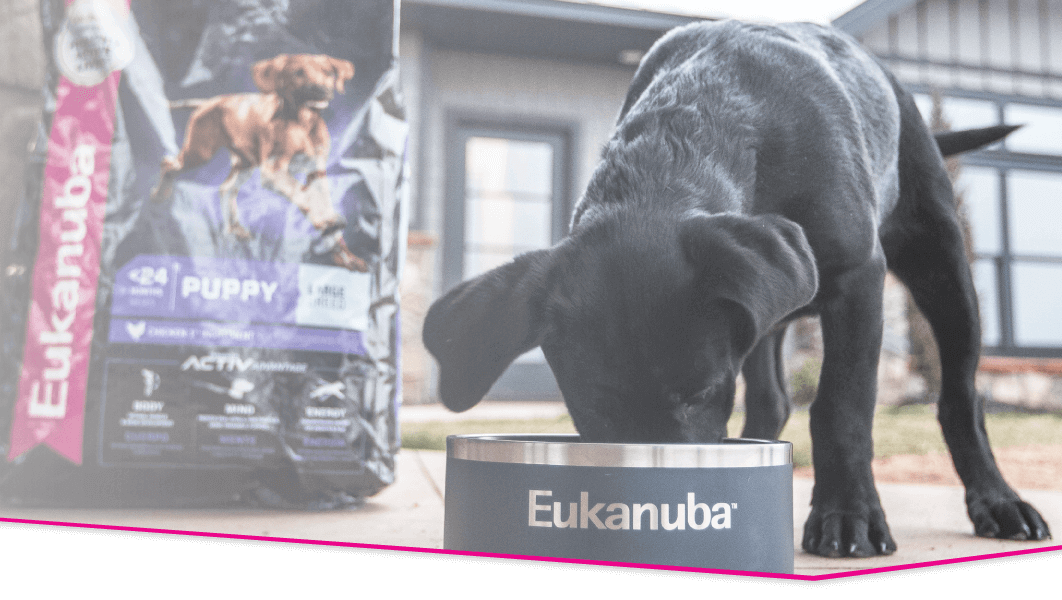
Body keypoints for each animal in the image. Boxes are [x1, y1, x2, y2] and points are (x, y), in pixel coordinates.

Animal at [418, 19, 1049, 556]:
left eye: (699, 393)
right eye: (595, 404)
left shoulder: (857, 278)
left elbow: (841, 405)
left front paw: (847, 516)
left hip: (942, 264)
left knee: (960, 397)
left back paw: (1000, 502)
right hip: (764, 310)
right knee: (772, 400)